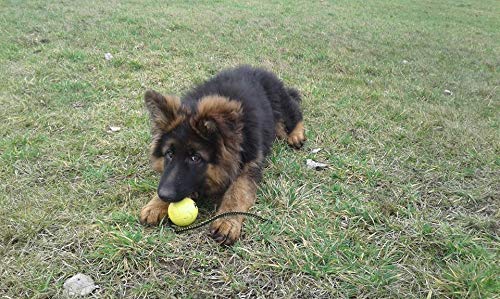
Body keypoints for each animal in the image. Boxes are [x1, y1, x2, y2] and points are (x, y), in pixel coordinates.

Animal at [140, 66, 304, 246]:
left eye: (195, 157)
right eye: (169, 154)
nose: (164, 195)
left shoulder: (251, 163)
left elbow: (237, 190)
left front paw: (227, 221)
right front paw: (156, 204)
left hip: (281, 106)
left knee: (295, 113)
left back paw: (296, 135)